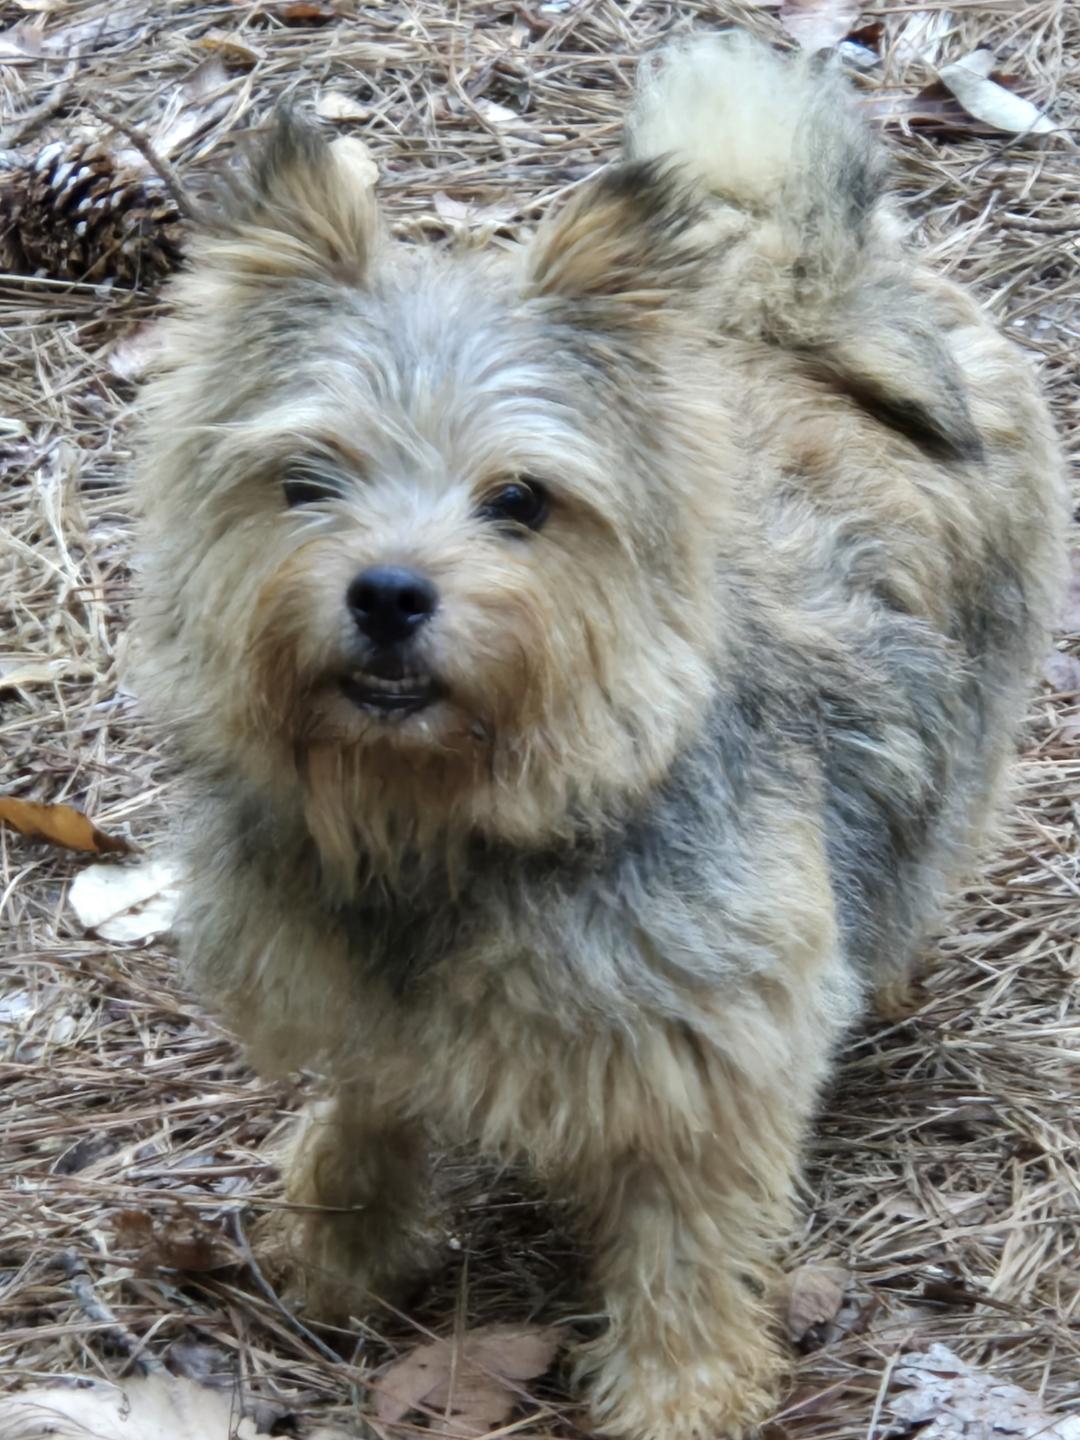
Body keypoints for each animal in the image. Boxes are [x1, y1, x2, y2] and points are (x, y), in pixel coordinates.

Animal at [134, 31, 1066, 1440]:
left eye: (521, 500)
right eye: (306, 481)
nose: (389, 592)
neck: (442, 814)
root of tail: (826, 293)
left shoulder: (716, 1057)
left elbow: (686, 1247)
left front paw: (679, 1395)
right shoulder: (365, 1008)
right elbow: (368, 1108)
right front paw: (344, 1240)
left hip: (966, 734)